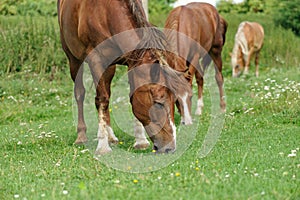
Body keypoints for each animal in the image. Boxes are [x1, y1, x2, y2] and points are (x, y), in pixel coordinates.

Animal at [57, 0, 191, 154]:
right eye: (158, 102)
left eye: (174, 100)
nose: (170, 147)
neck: (105, 13)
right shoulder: (96, 59)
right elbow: (101, 99)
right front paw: (102, 146)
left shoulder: (131, 62)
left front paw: (140, 140)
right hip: (73, 59)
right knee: (80, 93)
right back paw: (81, 136)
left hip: (109, 68)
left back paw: (111, 136)